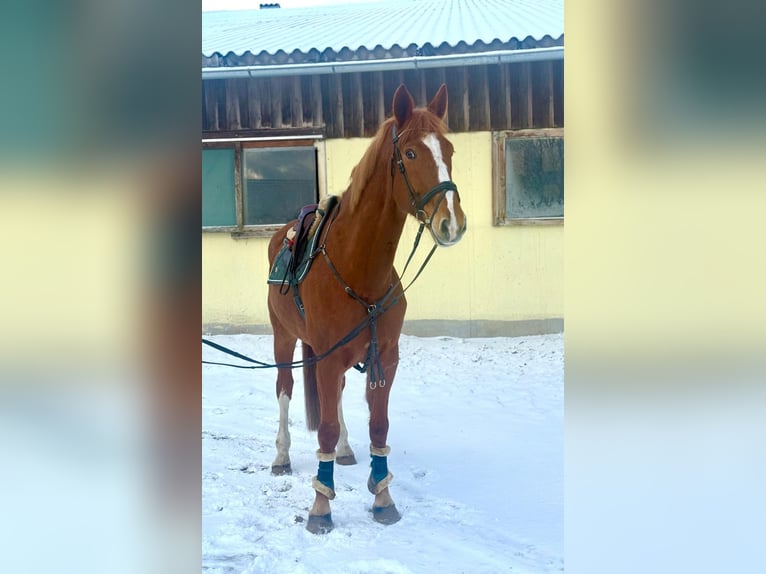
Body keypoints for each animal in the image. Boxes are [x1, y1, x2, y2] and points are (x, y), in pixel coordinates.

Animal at [266, 84, 467, 533]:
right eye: (410, 153)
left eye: (449, 149)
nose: (452, 223)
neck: (358, 268)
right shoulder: (325, 357)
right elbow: (322, 426)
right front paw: (320, 507)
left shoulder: (384, 357)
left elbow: (378, 425)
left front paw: (382, 497)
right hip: (283, 338)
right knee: (285, 390)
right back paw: (282, 455)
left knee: (336, 396)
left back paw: (343, 450)